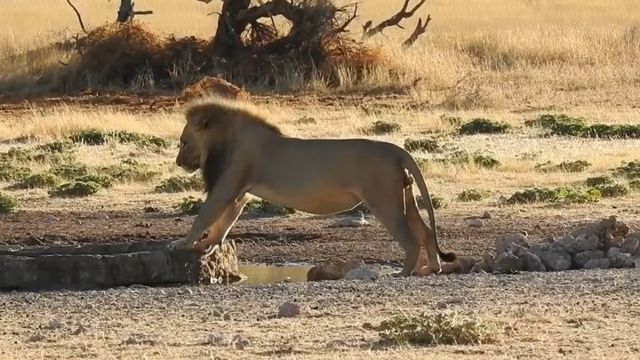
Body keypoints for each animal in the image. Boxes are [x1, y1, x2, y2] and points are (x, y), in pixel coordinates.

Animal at [170, 98, 456, 276]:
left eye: (183, 142)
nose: (178, 162)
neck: (225, 139)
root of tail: (397, 149)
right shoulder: (239, 195)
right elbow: (222, 224)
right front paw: (206, 246)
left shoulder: (227, 187)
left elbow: (205, 216)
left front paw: (182, 243)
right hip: (403, 195)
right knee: (426, 231)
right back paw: (431, 269)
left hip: (384, 201)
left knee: (410, 239)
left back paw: (402, 272)